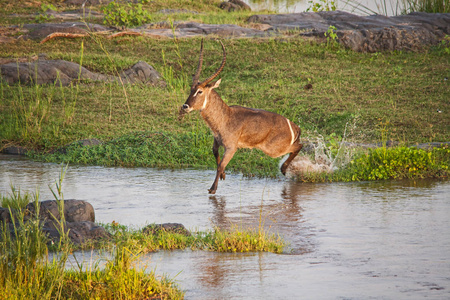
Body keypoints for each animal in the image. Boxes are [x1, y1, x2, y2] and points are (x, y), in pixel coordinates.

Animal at [179, 39, 302, 195]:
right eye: (191, 89)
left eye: (200, 91)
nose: (185, 106)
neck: (225, 117)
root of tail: (294, 126)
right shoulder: (217, 142)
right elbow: (216, 156)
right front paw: (223, 175)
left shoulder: (231, 148)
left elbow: (220, 165)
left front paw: (213, 189)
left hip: (273, 149)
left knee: (298, 146)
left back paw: (284, 170)